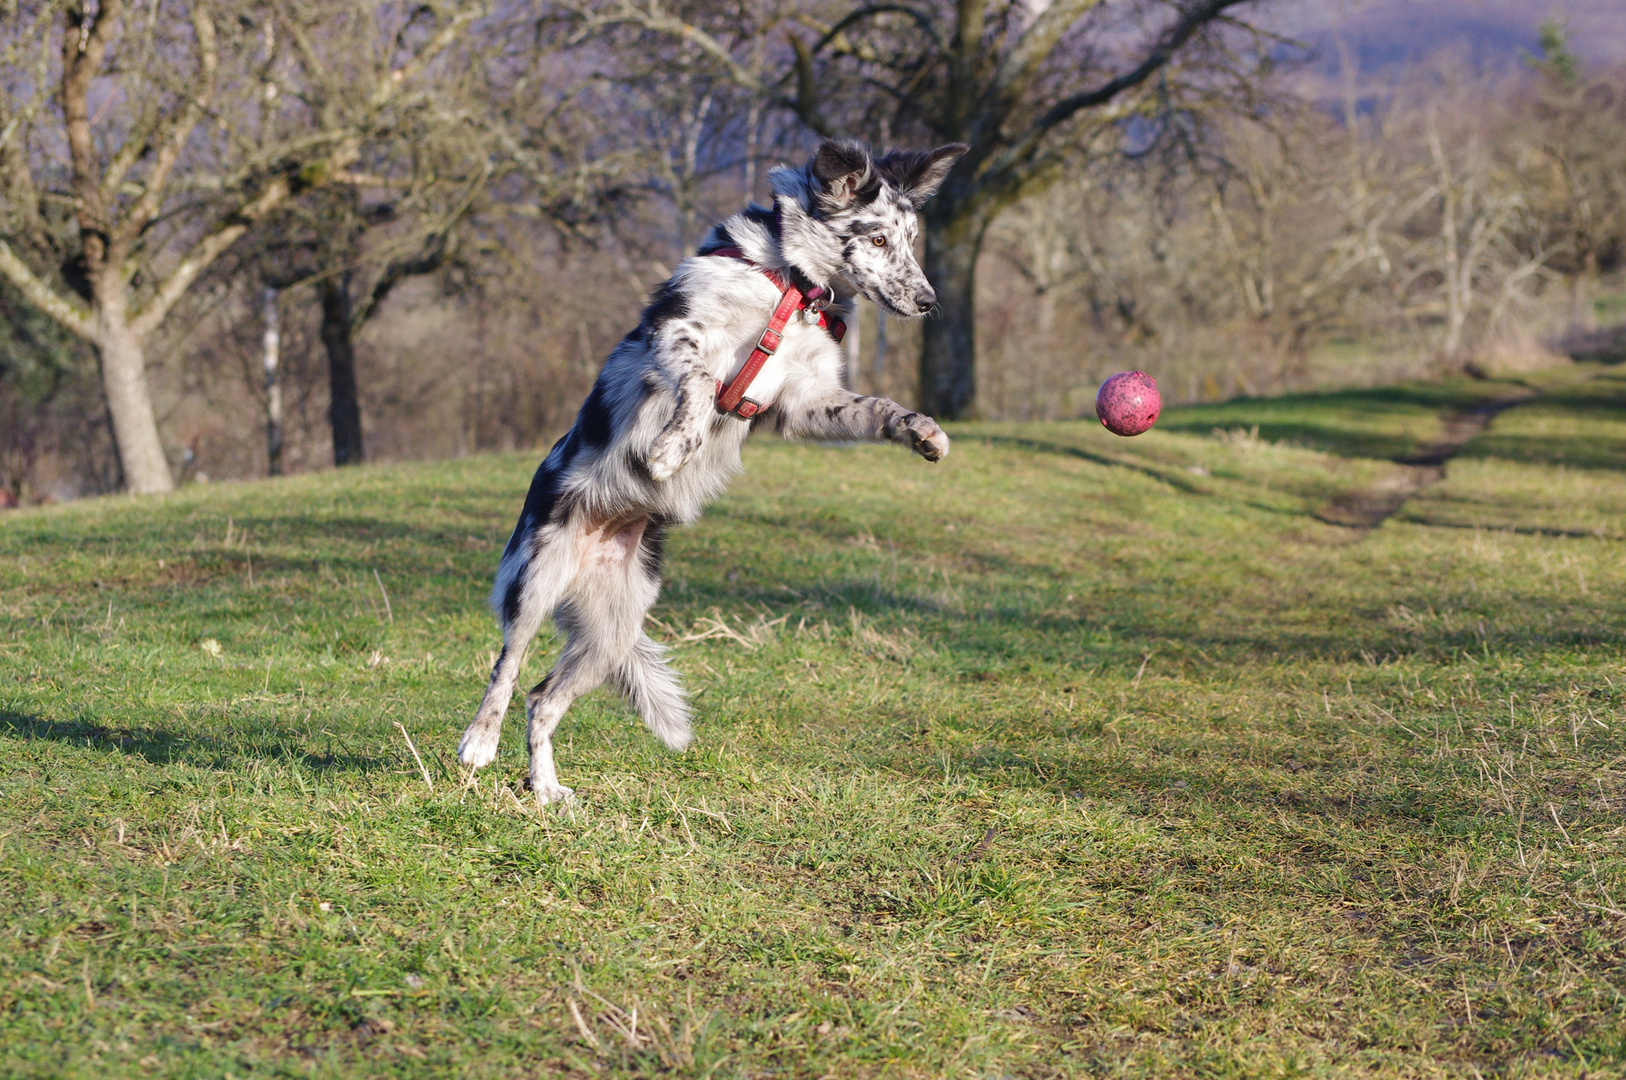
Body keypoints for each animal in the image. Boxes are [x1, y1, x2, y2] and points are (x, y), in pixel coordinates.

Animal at [452, 139, 969, 806]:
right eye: (878, 239)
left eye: (910, 241)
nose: (930, 301)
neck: (791, 286)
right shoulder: (676, 333)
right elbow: (699, 383)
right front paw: (672, 449)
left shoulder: (806, 400)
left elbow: (876, 407)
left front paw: (922, 430)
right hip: (535, 579)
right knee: (506, 669)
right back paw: (479, 741)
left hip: (611, 635)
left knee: (542, 700)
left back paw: (546, 790)